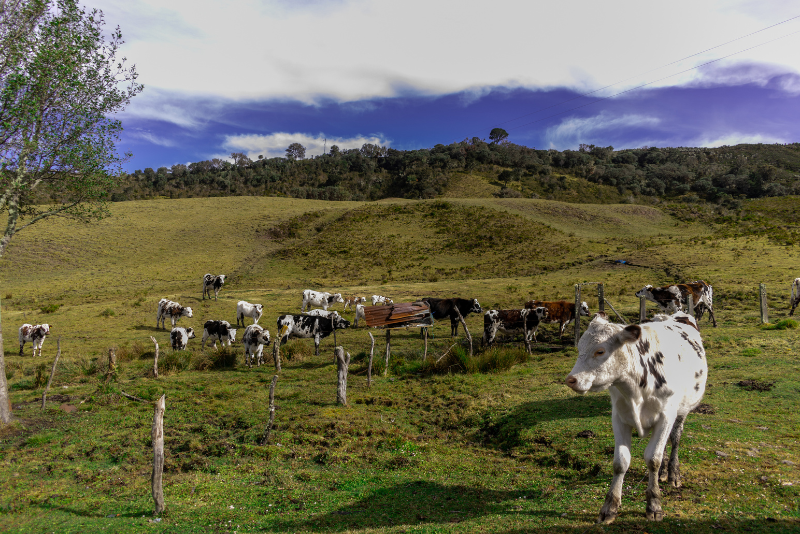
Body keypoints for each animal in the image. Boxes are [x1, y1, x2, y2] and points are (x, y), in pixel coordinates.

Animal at [566, 312, 707, 523]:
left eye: (600, 351)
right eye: (579, 348)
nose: (571, 380)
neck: (636, 387)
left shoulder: (666, 417)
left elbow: (653, 459)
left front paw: (654, 504)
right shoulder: (619, 418)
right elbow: (620, 462)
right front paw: (610, 507)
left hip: (682, 411)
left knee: (675, 438)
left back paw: (673, 473)